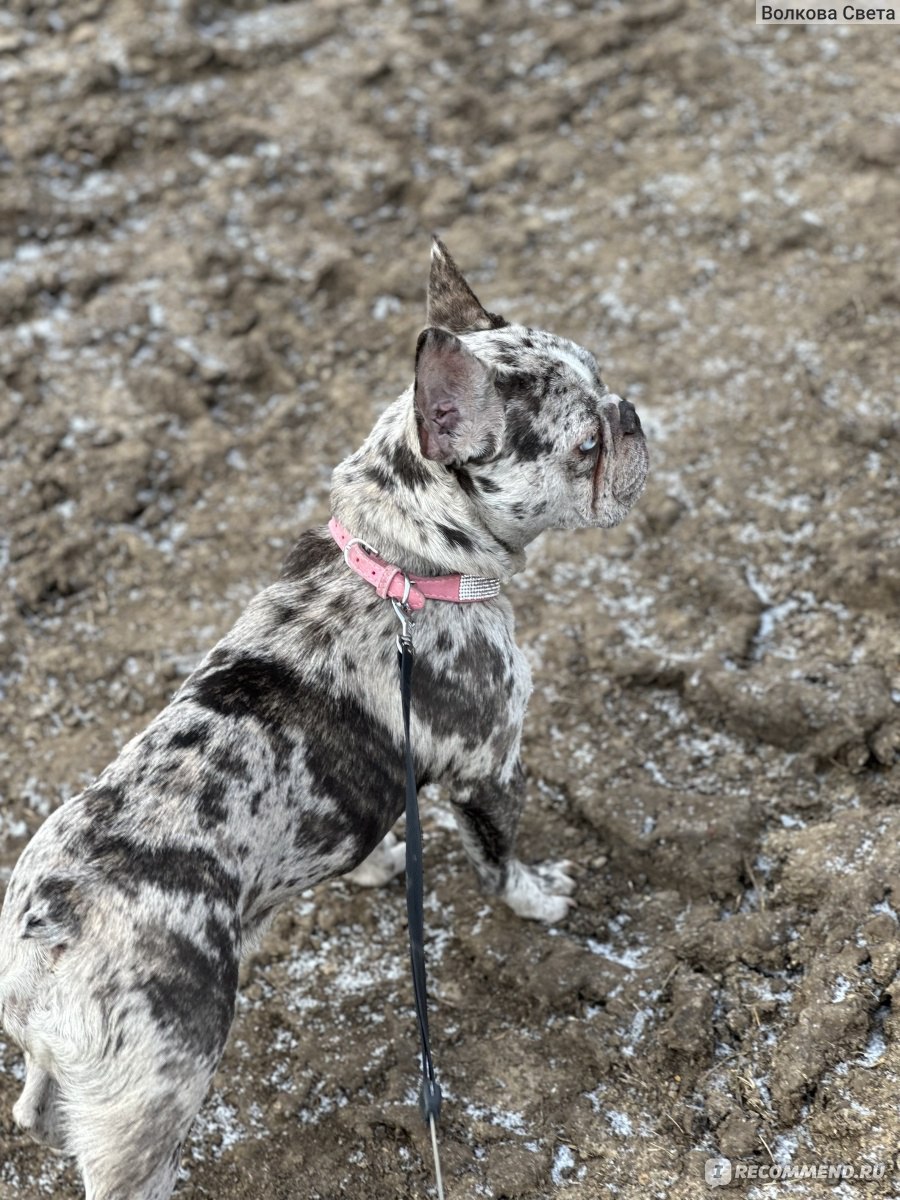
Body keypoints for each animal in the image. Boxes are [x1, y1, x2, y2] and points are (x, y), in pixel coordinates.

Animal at [0, 238, 648, 1195]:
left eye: (605, 383)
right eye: (586, 443)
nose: (629, 411)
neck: (403, 558)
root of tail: (48, 938)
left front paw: (378, 866)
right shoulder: (490, 767)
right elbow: (502, 860)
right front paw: (538, 901)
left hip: (84, 1076)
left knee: (42, 1106)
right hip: (160, 1089)